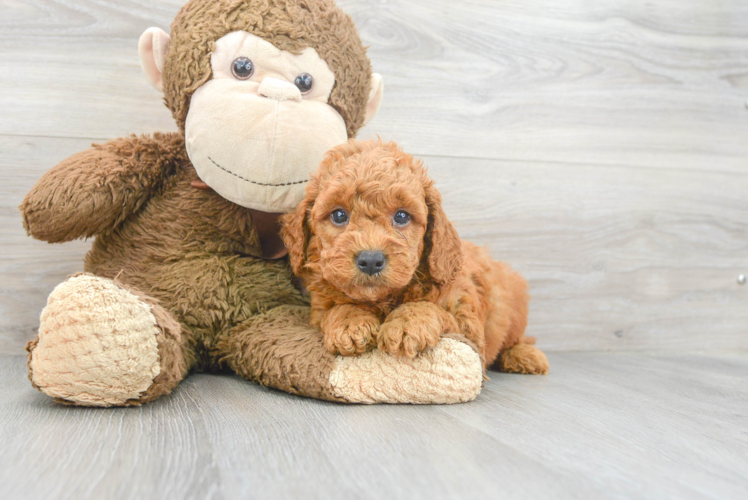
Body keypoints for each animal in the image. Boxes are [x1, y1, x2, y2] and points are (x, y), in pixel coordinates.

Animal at [280, 139, 548, 374]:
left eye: (401, 216)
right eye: (338, 215)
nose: (370, 260)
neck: (385, 299)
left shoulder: (467, 323)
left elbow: (429, 307)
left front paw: (406, 324)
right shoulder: (320, 308)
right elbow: (339, 307)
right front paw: (350, 322)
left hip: (513, 303)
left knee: (518, 338)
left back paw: (524, 356)